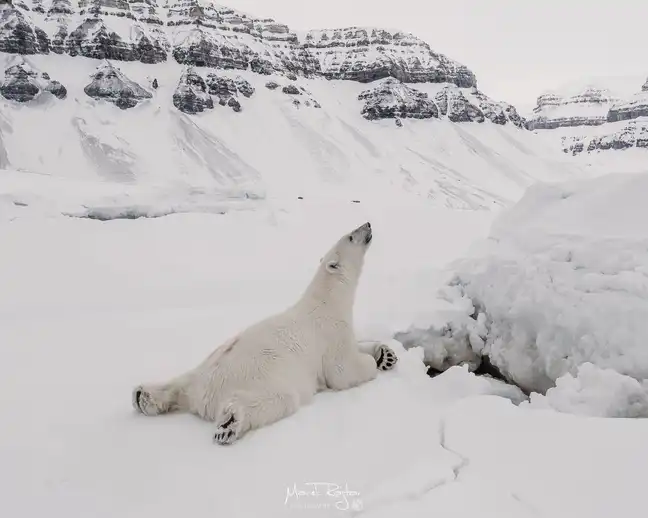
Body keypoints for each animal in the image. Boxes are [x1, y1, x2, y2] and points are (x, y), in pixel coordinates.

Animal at [132, 221, 398, 444]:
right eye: (351, 236)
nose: (367, 224)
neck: (328, 299)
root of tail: (204, 394)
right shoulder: (329, 333)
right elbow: (342, 370)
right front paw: (371, 364)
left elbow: (356, 345)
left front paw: (386, 355)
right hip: (267, 380)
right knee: (275, 400)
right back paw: (229, 424)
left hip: (203, 367)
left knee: (178, 383)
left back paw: (143, 396)